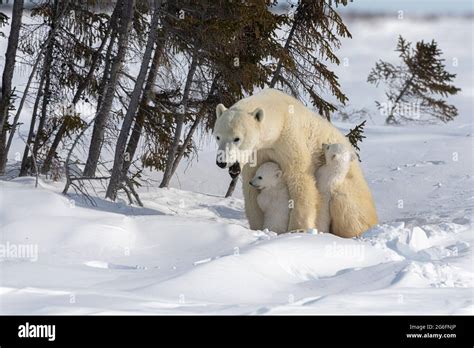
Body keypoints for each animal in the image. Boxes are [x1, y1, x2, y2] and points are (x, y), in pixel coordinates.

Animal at [215, 88, 378, 238]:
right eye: (217, 136)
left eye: (237, 138)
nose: (221, 162)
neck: (279, 117)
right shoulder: (258, 153)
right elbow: (251, 189)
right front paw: (258, 228)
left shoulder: (289, 140)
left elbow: (300, 179)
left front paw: (297, 230)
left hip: (346, 184)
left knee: (347, 209)